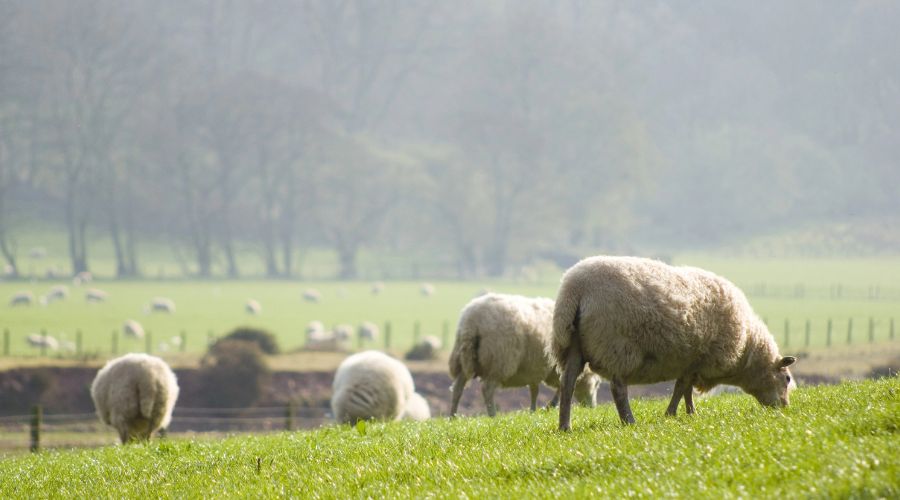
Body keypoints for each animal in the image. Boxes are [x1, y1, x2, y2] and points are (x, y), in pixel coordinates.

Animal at [448, 292, 600, 418]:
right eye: (597, 384)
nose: (592, 407)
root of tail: (471, 323)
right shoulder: (549, 367)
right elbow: (557, 387)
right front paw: (550, 405)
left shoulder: (535, 368)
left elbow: (535, 390)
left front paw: (533, 410)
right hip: (499, 360)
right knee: (487, 389)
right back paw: (492, 415)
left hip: (463, 359)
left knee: (457, 388)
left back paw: (453, 416)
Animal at [548, 256, 796, 432]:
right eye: (786, 378)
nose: (785, 407)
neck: (747, 348)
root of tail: (575, 290)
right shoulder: (699, 358)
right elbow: (681, 388)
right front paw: (673, 413)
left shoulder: (690, 361)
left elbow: (685, 388)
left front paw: (689, 412)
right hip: (617, 345)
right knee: (617, 388)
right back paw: (629, 421)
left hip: (573, 344)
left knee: (568, 383)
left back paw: (565, 426)